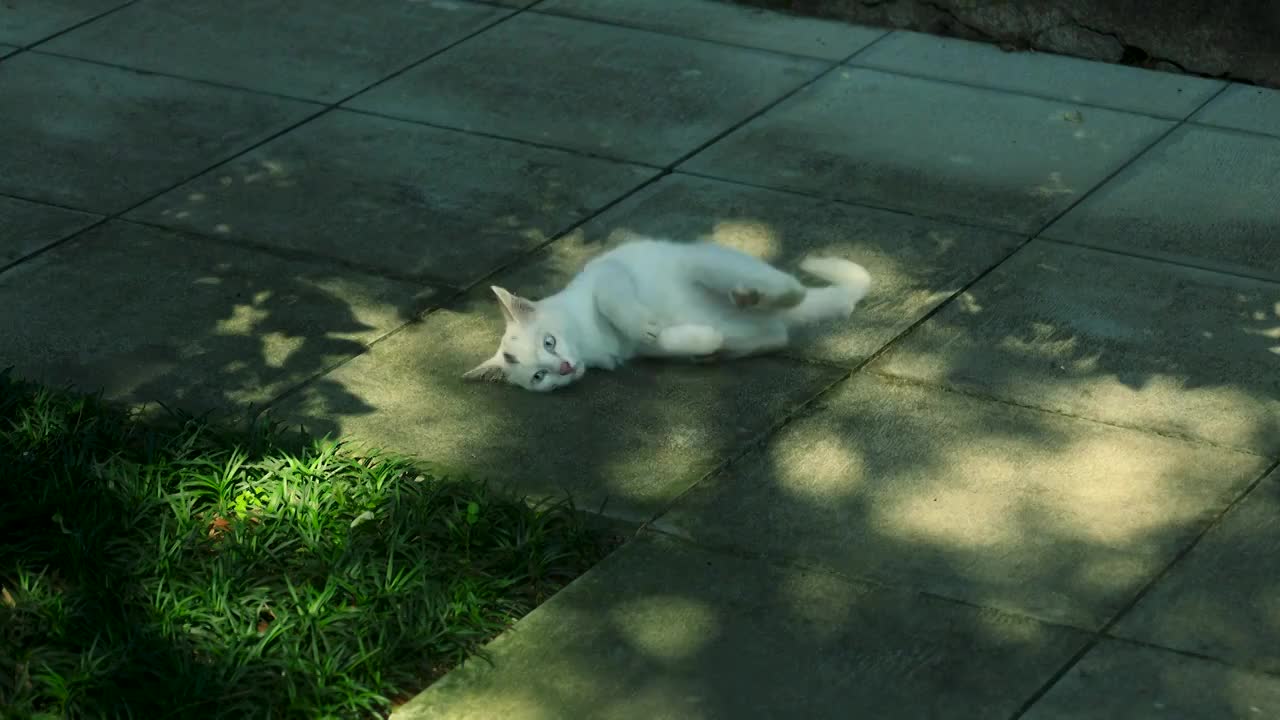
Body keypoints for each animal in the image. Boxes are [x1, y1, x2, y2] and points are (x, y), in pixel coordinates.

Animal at [465, 237, 875, 392]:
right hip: (754, 327)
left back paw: (749, 294)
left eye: (549, 342)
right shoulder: (637, 352)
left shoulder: (609, 273)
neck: (588, 339)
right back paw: (717, 350)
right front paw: (704, 339)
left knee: (789, 288)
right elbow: (670, 341)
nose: (565, 369)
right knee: (774, 335)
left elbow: (613, 300)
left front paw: (643, 323)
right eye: (539, 377)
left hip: (705, 262)